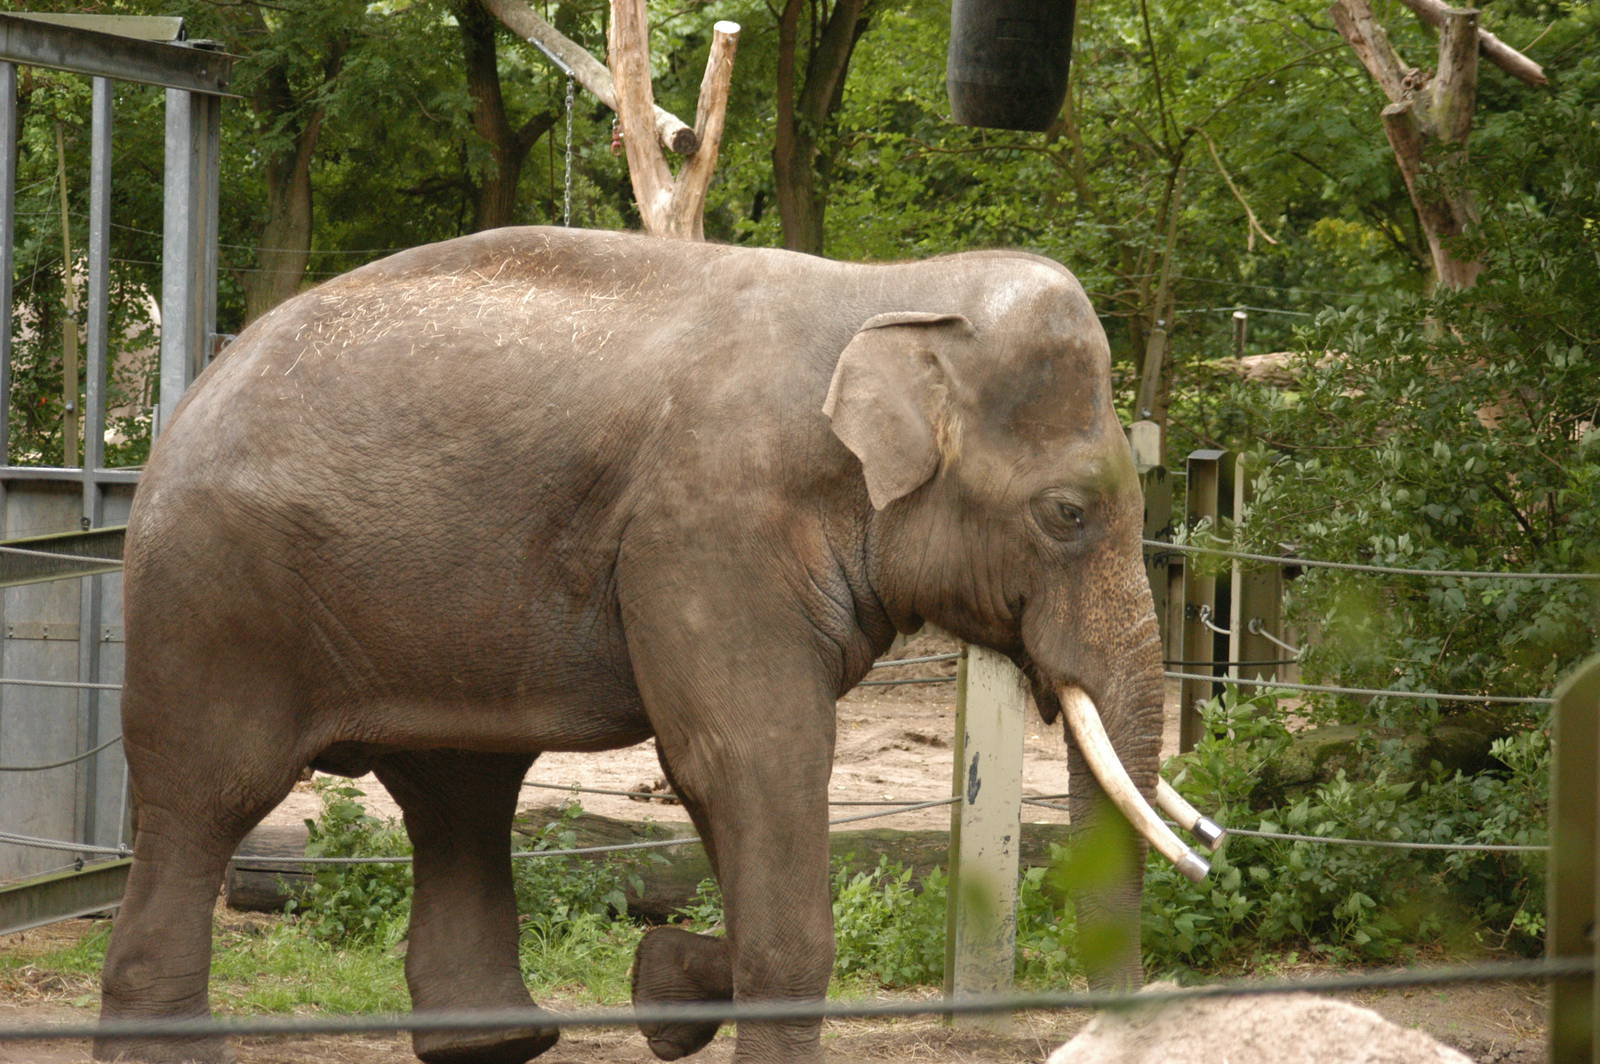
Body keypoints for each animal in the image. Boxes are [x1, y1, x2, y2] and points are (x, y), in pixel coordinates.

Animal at [94, 225, 1209, 1064]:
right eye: (1066, 514)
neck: (893, 291)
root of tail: (187, 395)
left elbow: (728, 785)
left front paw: (665, 985)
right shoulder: (708, 526)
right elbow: (748, 757)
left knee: (459, 792)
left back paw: (495, 1041)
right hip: (211, 599)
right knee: (207, 796)